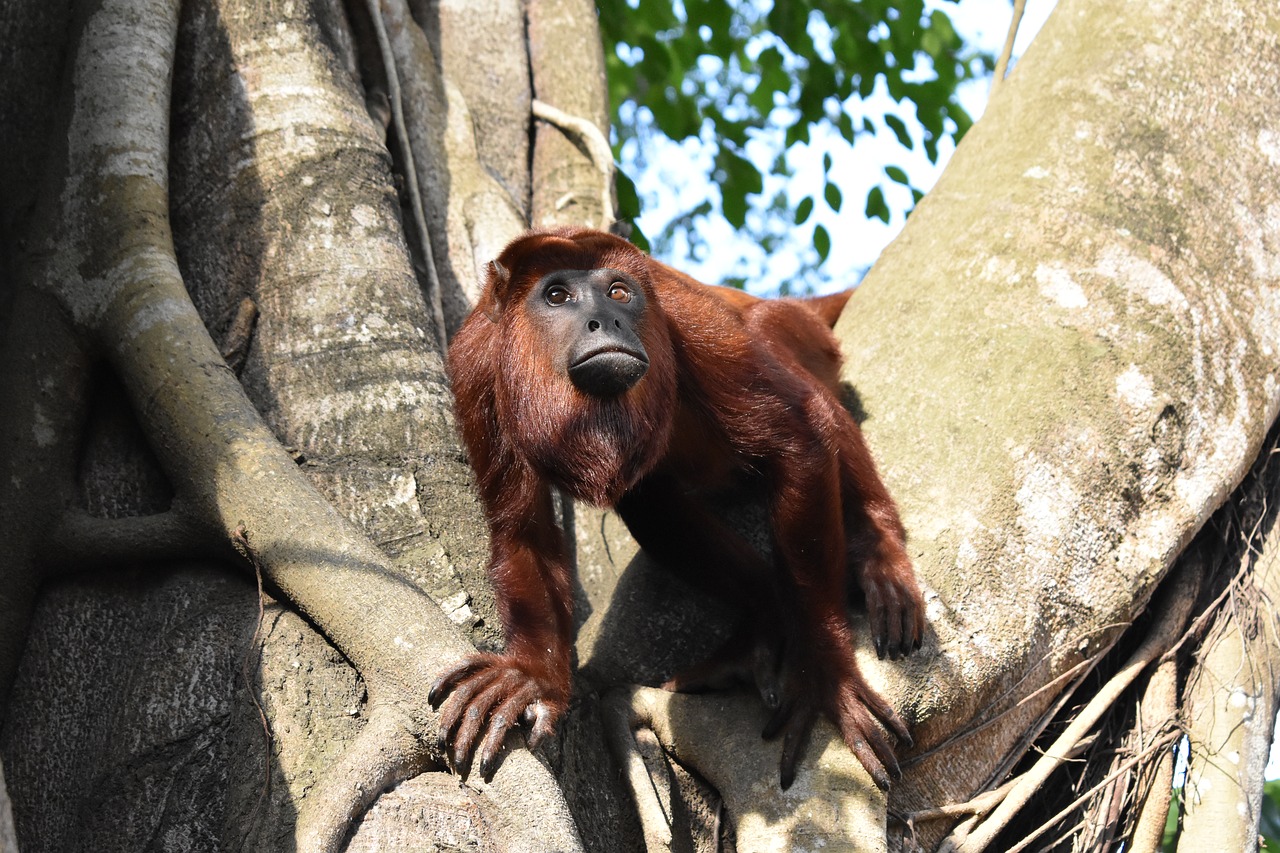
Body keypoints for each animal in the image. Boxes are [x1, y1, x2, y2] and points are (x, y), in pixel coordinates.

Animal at [435, 224, 926, 783]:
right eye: (557, 295)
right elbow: (522, 531)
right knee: (649, 498)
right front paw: (531, 676)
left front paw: (826, 674)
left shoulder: (679, 314)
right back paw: (762, 618)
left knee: (797, 379)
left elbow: (798, 439)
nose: (607, 320)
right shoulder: (473, 361)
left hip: (801, 333)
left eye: (619, 292)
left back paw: (879, 554)